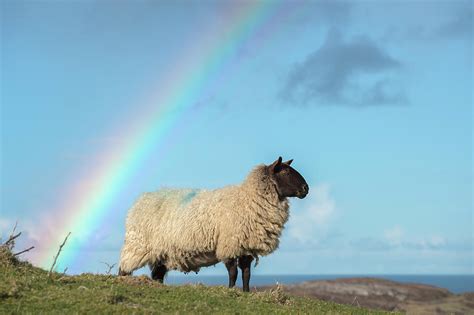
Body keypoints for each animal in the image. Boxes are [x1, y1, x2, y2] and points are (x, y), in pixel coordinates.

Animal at [118, 157, 310, 292]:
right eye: (285, 172)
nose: (306, 189)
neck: (248, 199)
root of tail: (141, 201)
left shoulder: (245, 246)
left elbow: (246, 273)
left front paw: (246, 293)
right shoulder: (229, 245)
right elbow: (233, 273)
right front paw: (231, 291)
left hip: (161, 254)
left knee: (157, 274)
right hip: (137, 246)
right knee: (124, 268)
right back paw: (121, 281)